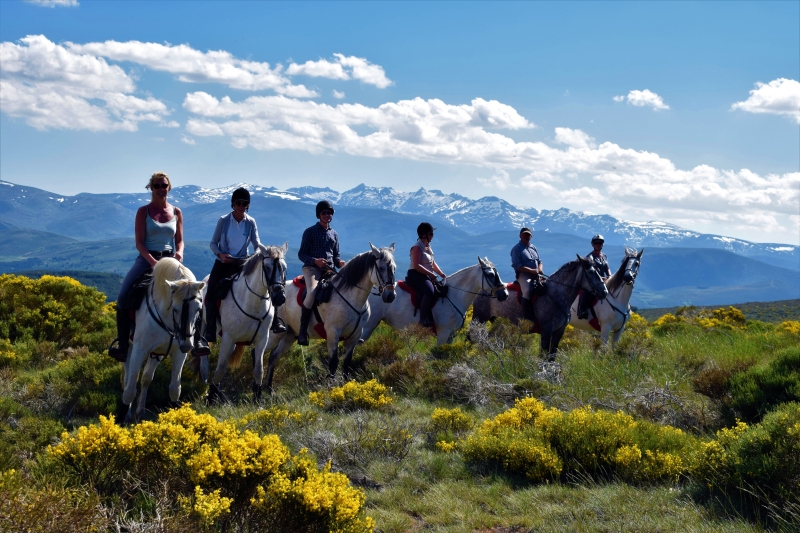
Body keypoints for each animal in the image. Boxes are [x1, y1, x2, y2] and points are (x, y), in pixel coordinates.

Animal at [121, 258, 205, 424]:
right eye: (175, 308)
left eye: (198, 309)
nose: (187, 345)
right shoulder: (139, 350)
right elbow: (130, 389)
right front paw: (123, 418)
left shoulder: (178, 353)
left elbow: (174, 389)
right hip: (130, 347)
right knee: (128, 378)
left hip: (157, 353)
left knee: (146, 378)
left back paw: (139, 412)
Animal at [198, 243, 290, 402]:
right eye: (267, 267)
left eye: (284, 268)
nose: (279, 297)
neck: (252, 304)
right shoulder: (228, 338)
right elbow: (220, 368)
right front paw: (211, 397)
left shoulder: (262, 339)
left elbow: (259, 368)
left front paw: (258, 397)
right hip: (206, 330)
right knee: (204, 361)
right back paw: (205, 388)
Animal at [264, 243, 398, 392]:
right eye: (381, 268)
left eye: (394, 268)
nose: (390, 296)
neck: (350, 296)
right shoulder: (333, 332)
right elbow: (333, 363)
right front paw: (332, 388)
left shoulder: (355, 335)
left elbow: (347, 364)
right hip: (274, 334)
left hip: (289, 335)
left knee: (273, 357)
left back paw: (268, 390)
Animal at [360, 256, 510, 344]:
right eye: (490, 274)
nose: (505, 294)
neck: (453, 295)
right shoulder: (443, 333)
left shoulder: (450, 336)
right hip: (368, 325)